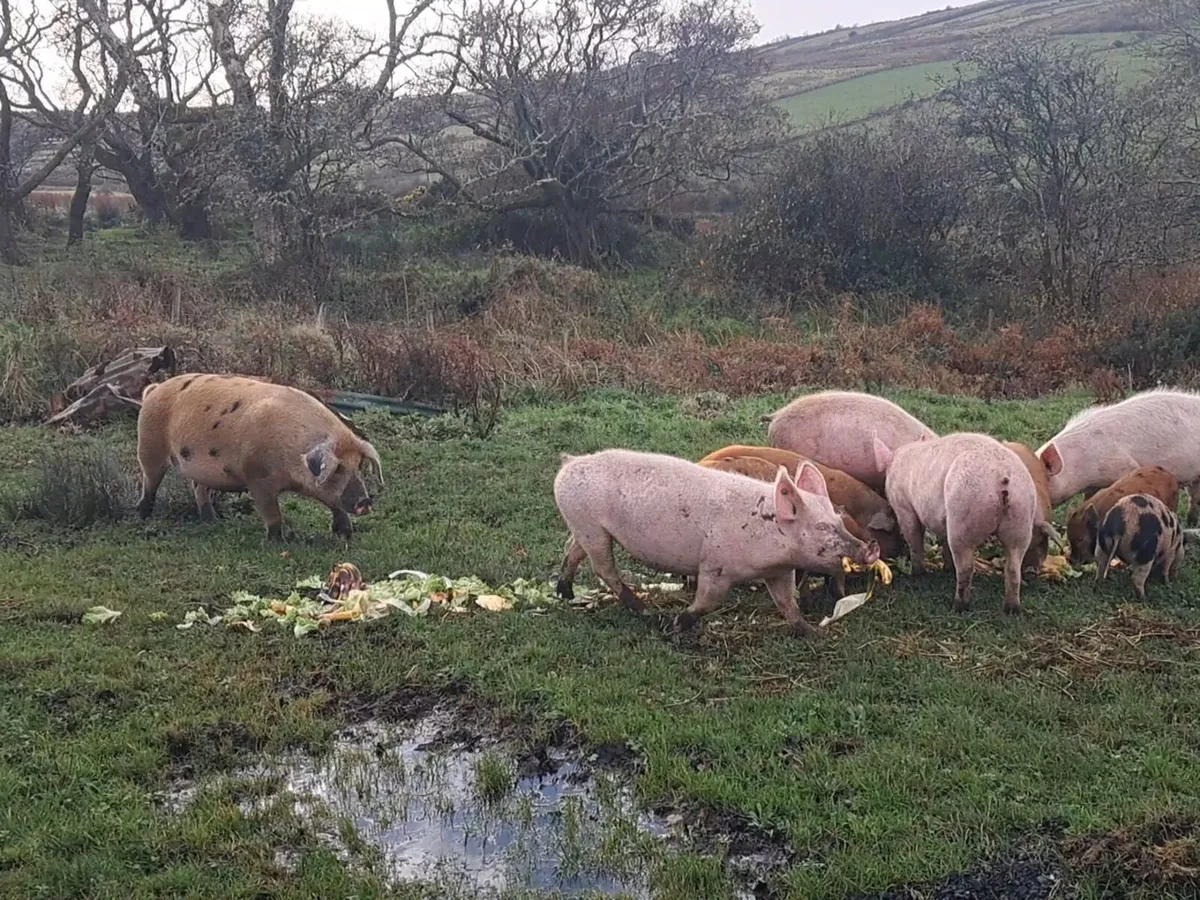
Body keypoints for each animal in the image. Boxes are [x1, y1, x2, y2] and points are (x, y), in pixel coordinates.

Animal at [136, 373, 383, 540]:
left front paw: (345, 535)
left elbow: (335, 504)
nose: (365, 501)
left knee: (199, 488)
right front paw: (278, 542)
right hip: (149, 446)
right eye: (338, 468)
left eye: (359, 465)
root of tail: (154, 390)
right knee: (149, 482)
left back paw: (211, 520)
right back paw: (143, 516)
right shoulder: (258, 478)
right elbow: (272, 514)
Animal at [553, 449, 880, 636]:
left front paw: (812, 634)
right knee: (603, 568)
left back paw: (565, 593)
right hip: (591, 527)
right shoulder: (716, 566)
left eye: (838, 520)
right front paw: (676, 625)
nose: (871, 547)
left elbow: (788, 603)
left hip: (585, 527)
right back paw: (644, 611)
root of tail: (570, 463)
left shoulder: (780, 571)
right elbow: (708, 601)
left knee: (571, 551)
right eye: (821, 526)